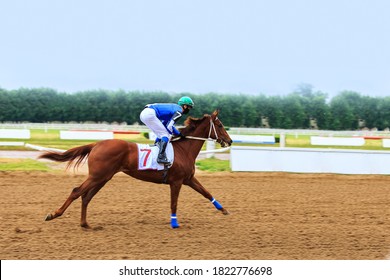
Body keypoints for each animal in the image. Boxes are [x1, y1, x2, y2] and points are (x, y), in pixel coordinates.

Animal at [39, 108, 233, 229]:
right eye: (220, 125)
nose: (230, 141)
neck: (183, 150)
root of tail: (97, 144)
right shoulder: (176, 182)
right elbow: (174, 203)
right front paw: (174, 223)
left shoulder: (189, 179)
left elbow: (206, 192)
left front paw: (223, 209)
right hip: (97, 176)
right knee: (76, 191)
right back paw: (54, 214)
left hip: (103, 177)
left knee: (86, 197)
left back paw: (85, 224)